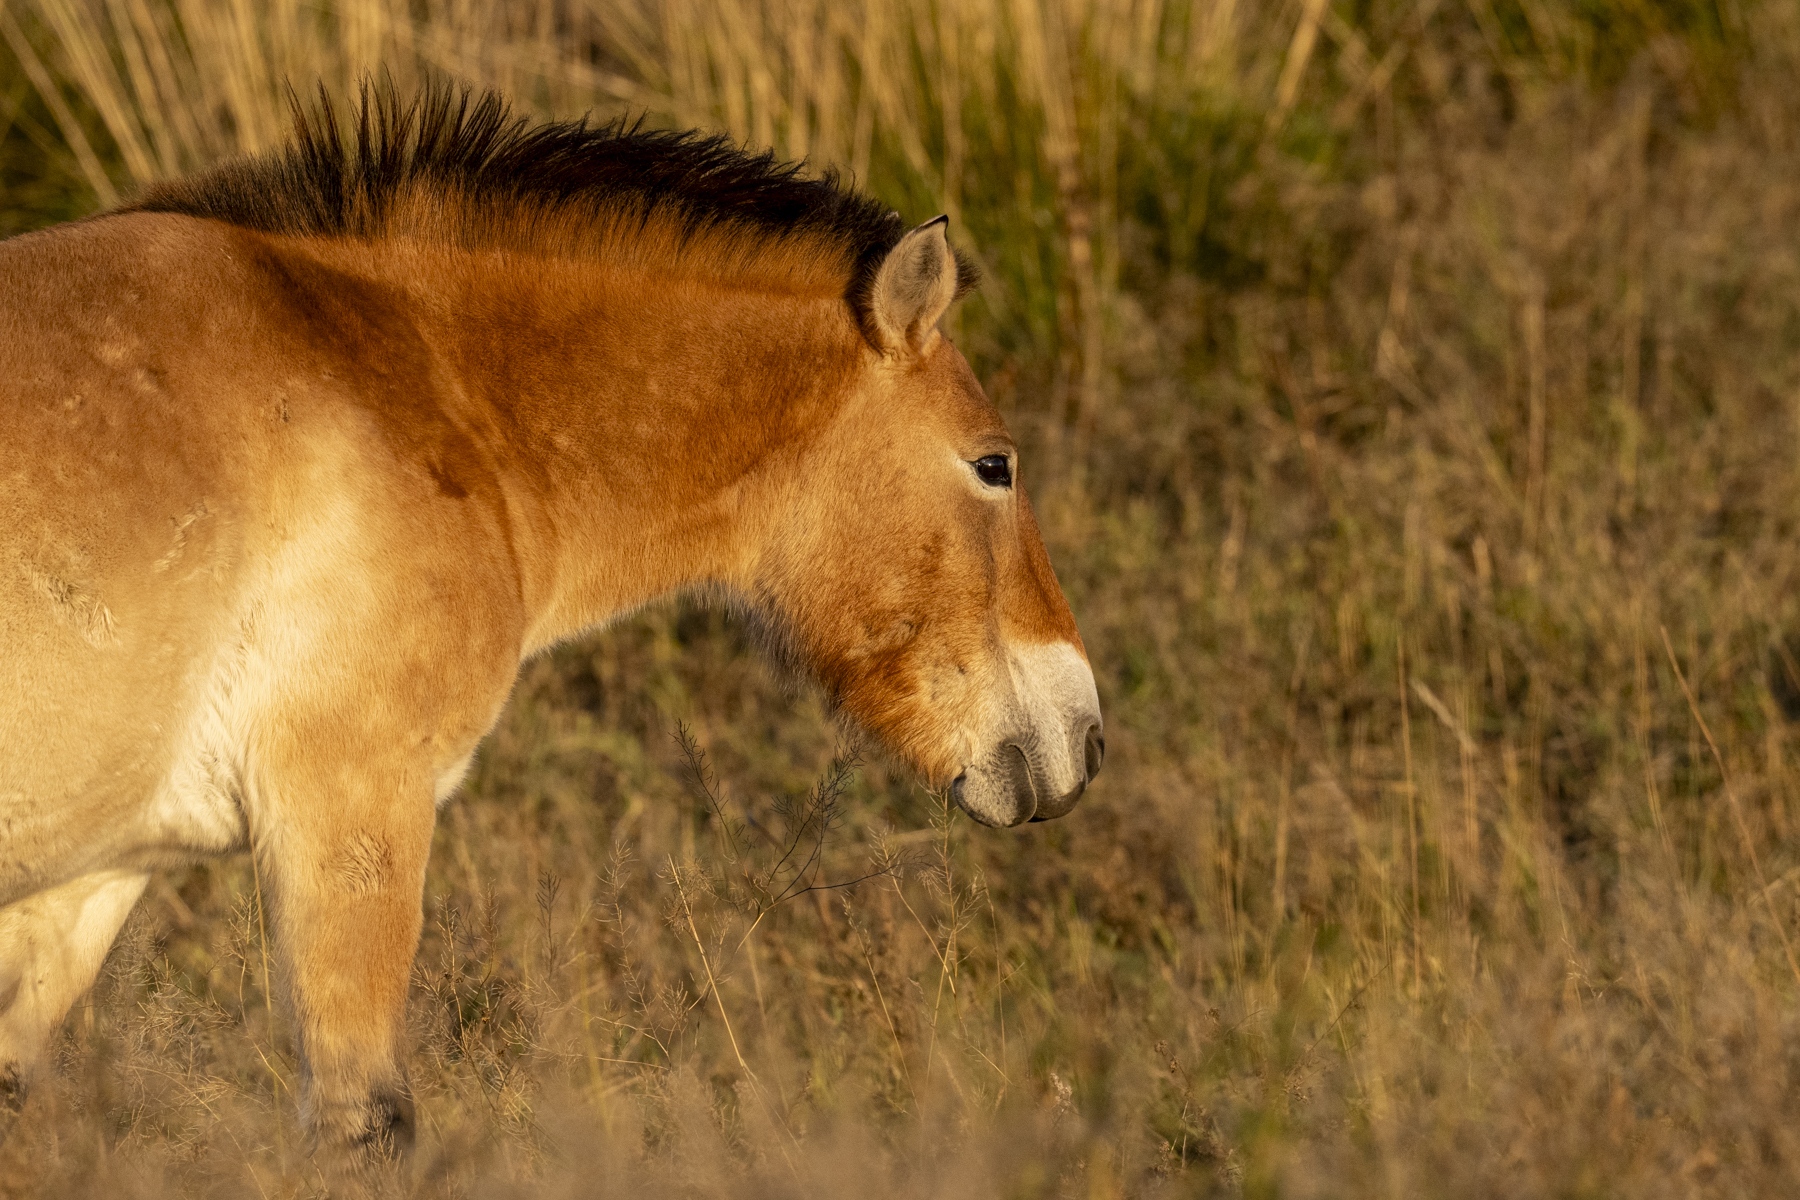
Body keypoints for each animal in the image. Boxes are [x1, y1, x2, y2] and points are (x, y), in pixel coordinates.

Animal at [0, 86, 1102, 1177]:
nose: (1083, 739)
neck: (403, 377)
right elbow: (367, 1125)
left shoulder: (93, 876)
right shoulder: (351, 814)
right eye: (994, 465)